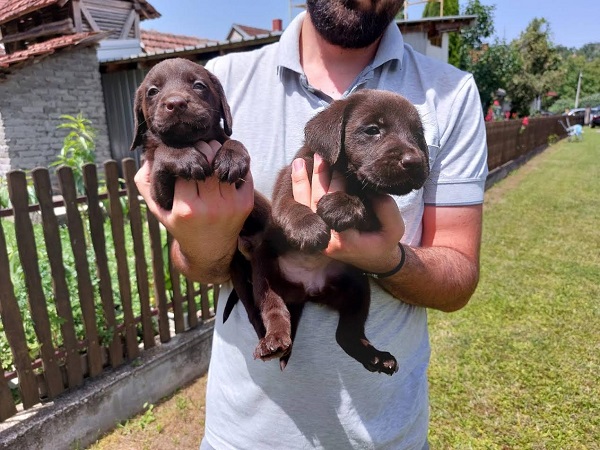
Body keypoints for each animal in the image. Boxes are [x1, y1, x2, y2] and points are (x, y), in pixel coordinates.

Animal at [131, 57, 251, 210]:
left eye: (199, 85)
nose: (176, 104)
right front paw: (184, 157)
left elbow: (232, 141)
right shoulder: (161, 197)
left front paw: (231, 158)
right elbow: (163, 149)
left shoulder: (241, 183)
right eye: (152, 91)